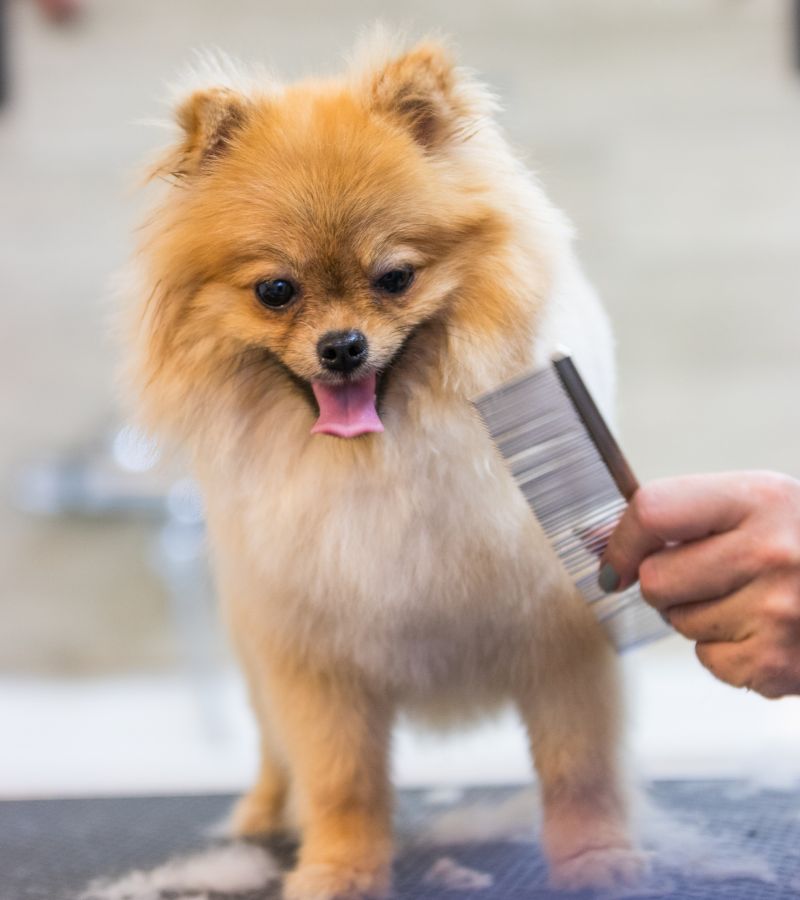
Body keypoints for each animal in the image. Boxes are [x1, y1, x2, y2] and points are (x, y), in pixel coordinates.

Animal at [128, 33, 648, 900]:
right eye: (277, 290)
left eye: (395, 277)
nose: (342, 346)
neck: (380, 461)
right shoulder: (316, 658)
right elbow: (341, 783)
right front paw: (338, 871)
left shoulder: (562, 628)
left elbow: (578, 766)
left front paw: (594, 859)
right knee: (271, 752)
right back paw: (261, 811)